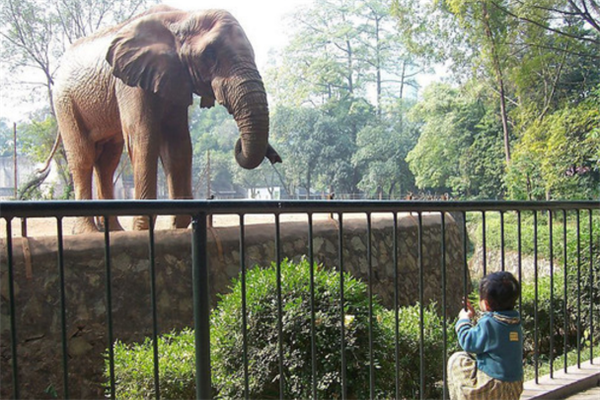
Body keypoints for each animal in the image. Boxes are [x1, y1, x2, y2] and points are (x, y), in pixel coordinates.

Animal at [51, 3, 282, 233]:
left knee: (108, 162)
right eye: (209, 55)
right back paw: (88, 232)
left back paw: (115, 231)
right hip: (65, 103)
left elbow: (177, 144)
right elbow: (143, 138)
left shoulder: (175, 80)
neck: (181, 17)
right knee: (83, 157)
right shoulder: (128, 84)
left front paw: (177, 227)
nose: (275, 157)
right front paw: (142, 229)